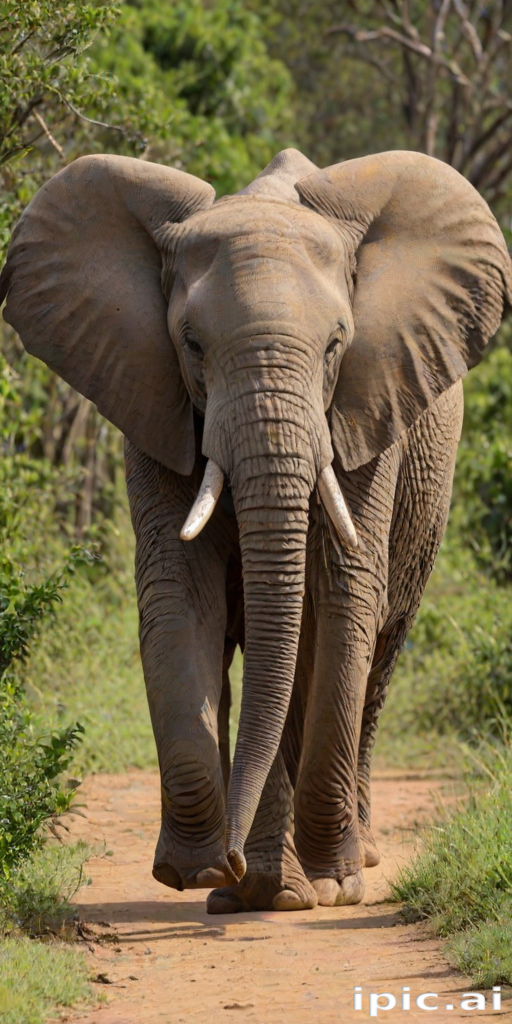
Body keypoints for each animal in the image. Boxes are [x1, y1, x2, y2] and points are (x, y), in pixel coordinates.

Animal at [1, 148, 511, 913]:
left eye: (336, 344)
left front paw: (312, 887)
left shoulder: (365, 407)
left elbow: (338, 603)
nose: (233, 861)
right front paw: (201, 875)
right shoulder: (154, 402)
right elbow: (181, 595)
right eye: (191, 344)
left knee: (377, 650)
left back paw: (345, 866)